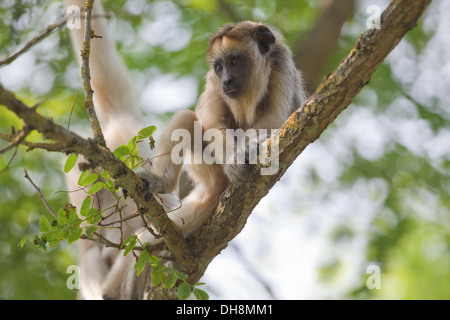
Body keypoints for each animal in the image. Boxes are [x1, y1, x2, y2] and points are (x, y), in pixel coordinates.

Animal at [64, 0, 306, 300]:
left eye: (235, 61)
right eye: (218, 67)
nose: (226, 80)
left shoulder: (282, 64)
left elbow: (276, 119)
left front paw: (248, 150)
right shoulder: (213, 84)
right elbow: (212, 122)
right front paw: (235, 158)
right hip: (206, 169)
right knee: (186, 120)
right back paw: (161, 182)